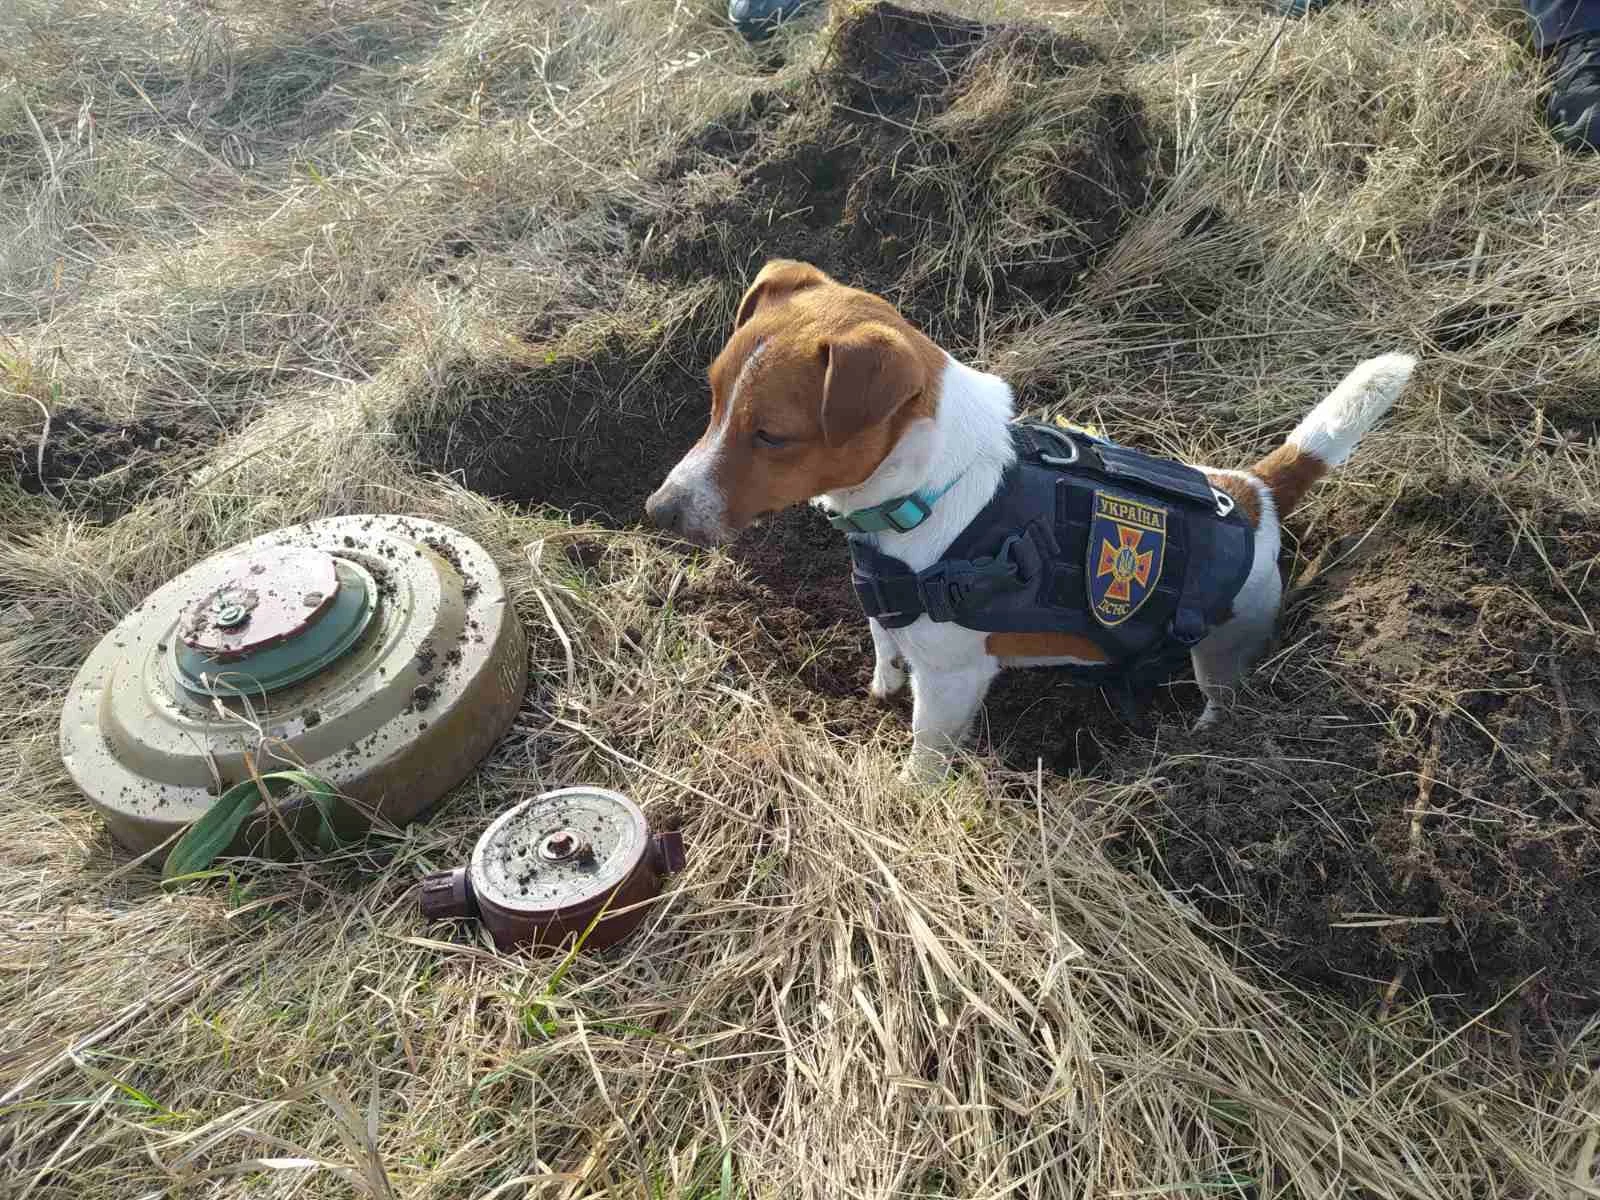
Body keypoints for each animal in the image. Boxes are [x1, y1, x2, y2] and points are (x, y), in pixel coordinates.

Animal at [643, 262, 1420, 784]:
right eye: (713, 397)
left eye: (772, 436)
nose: (658, 510)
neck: (929, 489)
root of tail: (1253, 491)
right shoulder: (887, 609)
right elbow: (884, 647)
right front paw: (879, 687)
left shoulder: (952, 680)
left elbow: (926, 751)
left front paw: (907, 793)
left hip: (1226, 645)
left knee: (1222, 693)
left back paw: (1201, 739)